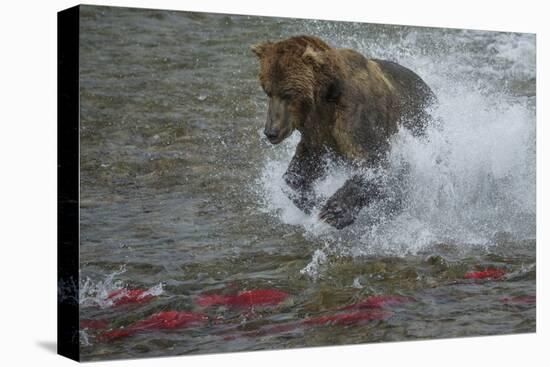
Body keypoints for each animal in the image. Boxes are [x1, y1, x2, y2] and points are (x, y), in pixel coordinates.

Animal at [252, 35, 438, 230]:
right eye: (267, 91)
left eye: (287, 93)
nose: (271, 132)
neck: (324, 99)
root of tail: (426, 86)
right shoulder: (316, 131)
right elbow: (301, 169)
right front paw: (312, 200)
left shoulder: (355, 116)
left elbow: (372, 162)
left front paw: (333, 212)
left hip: (420, 122)